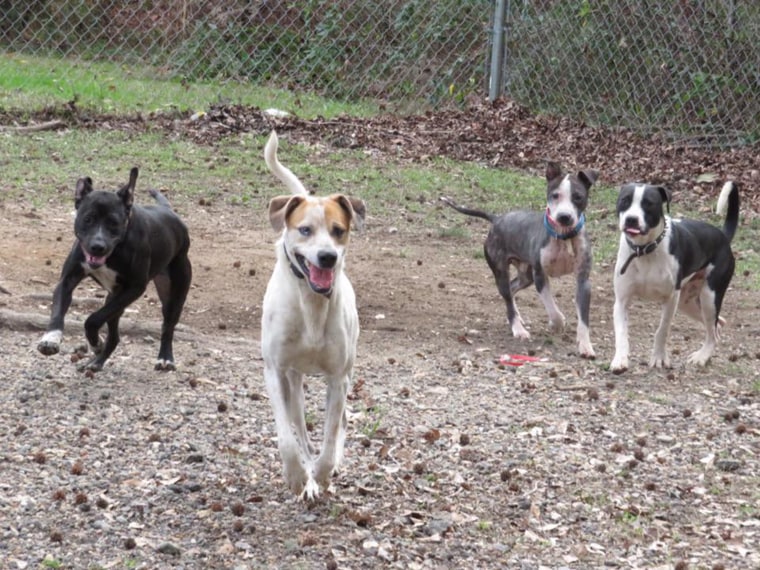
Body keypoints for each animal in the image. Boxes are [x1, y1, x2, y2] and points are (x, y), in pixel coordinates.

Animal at [38, 166, 193, 370]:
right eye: (88, 219)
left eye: (114, 222)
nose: (97, 246)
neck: (114, 253)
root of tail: (169, 212)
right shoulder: (67, 281)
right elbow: (58, 310)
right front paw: (51, 338)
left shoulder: (134, 288)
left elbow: (93, 320)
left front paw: (96, 343)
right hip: (114, 298)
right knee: (115, 336)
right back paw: (96, 362)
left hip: (174, 291)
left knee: (168, 326)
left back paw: (165, 358)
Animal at [262, 130, 368, 496]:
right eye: (305, 230)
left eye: (338, 230)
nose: (327, 257)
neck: (311, 303)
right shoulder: (276, 371)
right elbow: (287, 437)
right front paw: (297, 477)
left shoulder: (339, 377)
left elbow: (331, 434)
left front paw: (323, 472)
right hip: (293, 383)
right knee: (300, 431)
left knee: (339, 424)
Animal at [442, 161, 596, 356]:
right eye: (555, 195)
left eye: (578, 197)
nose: (564, 217)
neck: (563, 237)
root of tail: (497, 219)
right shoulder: (540, 276)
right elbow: (551, 308)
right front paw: (557, 322)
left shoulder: (583, 280)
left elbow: (583, 319)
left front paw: (585, 346)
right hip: (501, 270)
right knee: (507, 297)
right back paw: (518, 329)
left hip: (525, 275)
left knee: (513, 287)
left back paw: (519, 318)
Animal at [612, 180, 744, 370]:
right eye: (625, 200)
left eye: (649, 203)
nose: (631, 219)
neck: (645, 250)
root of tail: (722, 236)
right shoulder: (622, 300)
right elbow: (622, 333)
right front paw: (620, 360)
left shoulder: (671, 299)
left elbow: (662, 330)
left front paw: (659, 357)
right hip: (687, 302)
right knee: (718, 325)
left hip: (709, 297)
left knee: (712, 332)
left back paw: (702, 356)